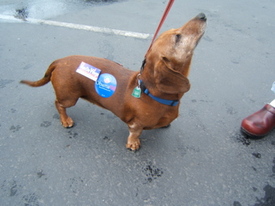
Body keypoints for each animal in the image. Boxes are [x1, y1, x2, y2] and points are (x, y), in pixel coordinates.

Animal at [21, 13, 207, 151]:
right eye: (178, 37)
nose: (202, 15)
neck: (151, 92)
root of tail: (59, 61)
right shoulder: (136, 124)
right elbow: (135, 133)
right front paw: (133, 144)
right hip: (69, 97)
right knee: (58, 104)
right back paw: (66, 120)